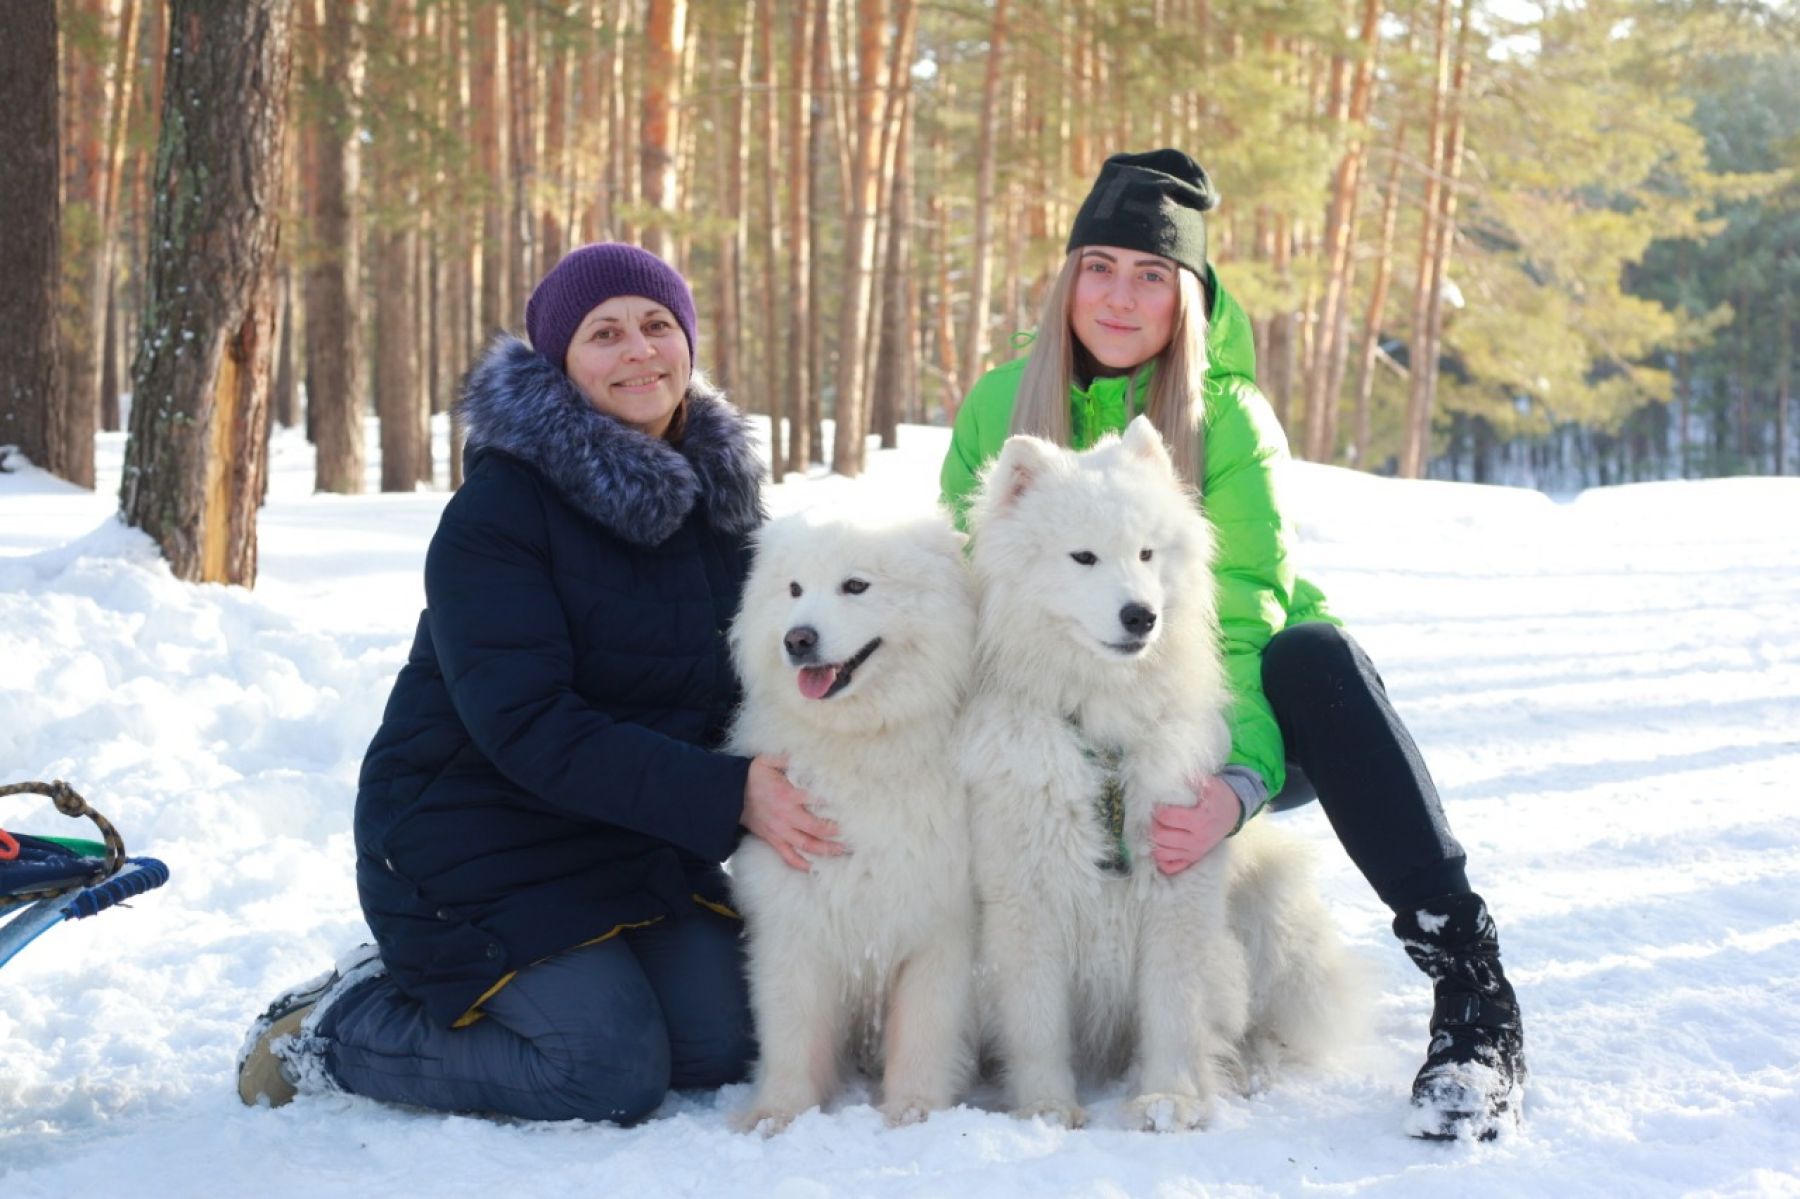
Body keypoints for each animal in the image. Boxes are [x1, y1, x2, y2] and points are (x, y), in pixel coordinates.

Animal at [723, 496, 979, 1130]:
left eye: (855, 585)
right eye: (794, 589)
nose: (798, 639)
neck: (865, 744)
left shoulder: (942, 924)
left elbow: (926, 1031)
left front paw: (915, 1111)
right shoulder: (794, 919)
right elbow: (791, 1031)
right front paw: (776, 1115)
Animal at [964, 415, 1353, 1123]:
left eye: (1147, 554)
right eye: (1083, 557)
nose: (1141, 615)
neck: (1102, 730)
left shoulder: (1179, 882)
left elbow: (1174, 1007)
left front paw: (1168, 1099)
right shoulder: (1025, 894)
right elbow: (1036, 1021)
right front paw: (1045, 1109)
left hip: (1272, 909)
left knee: (1266, 1020)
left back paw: (1248, 1069)